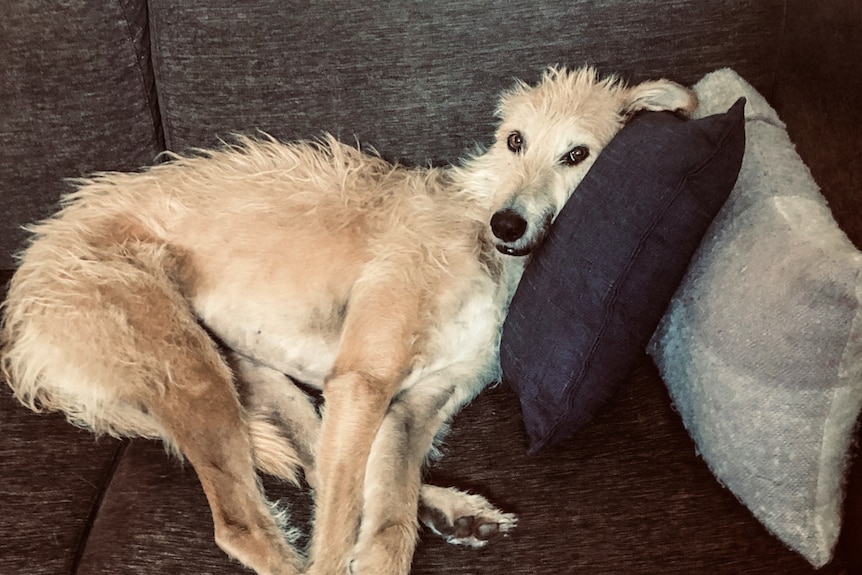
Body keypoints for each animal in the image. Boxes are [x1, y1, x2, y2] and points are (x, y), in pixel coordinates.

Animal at [0, 65, 700, 572]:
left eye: (578, 155)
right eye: (515, 141)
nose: (506, 224)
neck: (482, 249)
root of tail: (25, 301)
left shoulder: (409, 406)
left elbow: (386, 526)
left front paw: (407, 524)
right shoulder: (365, 379)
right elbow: (340, 530)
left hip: (251, 373)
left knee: (318, 465)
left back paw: (452, 510)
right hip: (189, 370)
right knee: (246, 525)